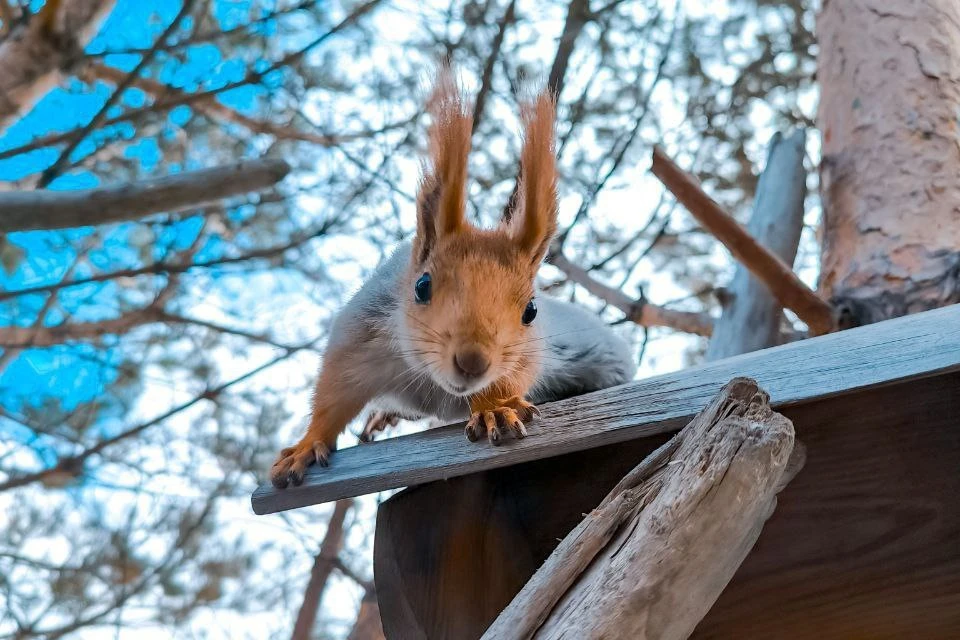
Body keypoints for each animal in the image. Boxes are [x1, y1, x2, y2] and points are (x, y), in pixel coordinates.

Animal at [270, 69, 632, 490]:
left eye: (531, 311)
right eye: (421, 286)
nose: (473, 362)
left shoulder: (526, 352)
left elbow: (512, 376)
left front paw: (494, 410)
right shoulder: (359, 335)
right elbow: (334, 394)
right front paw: (305, 447)